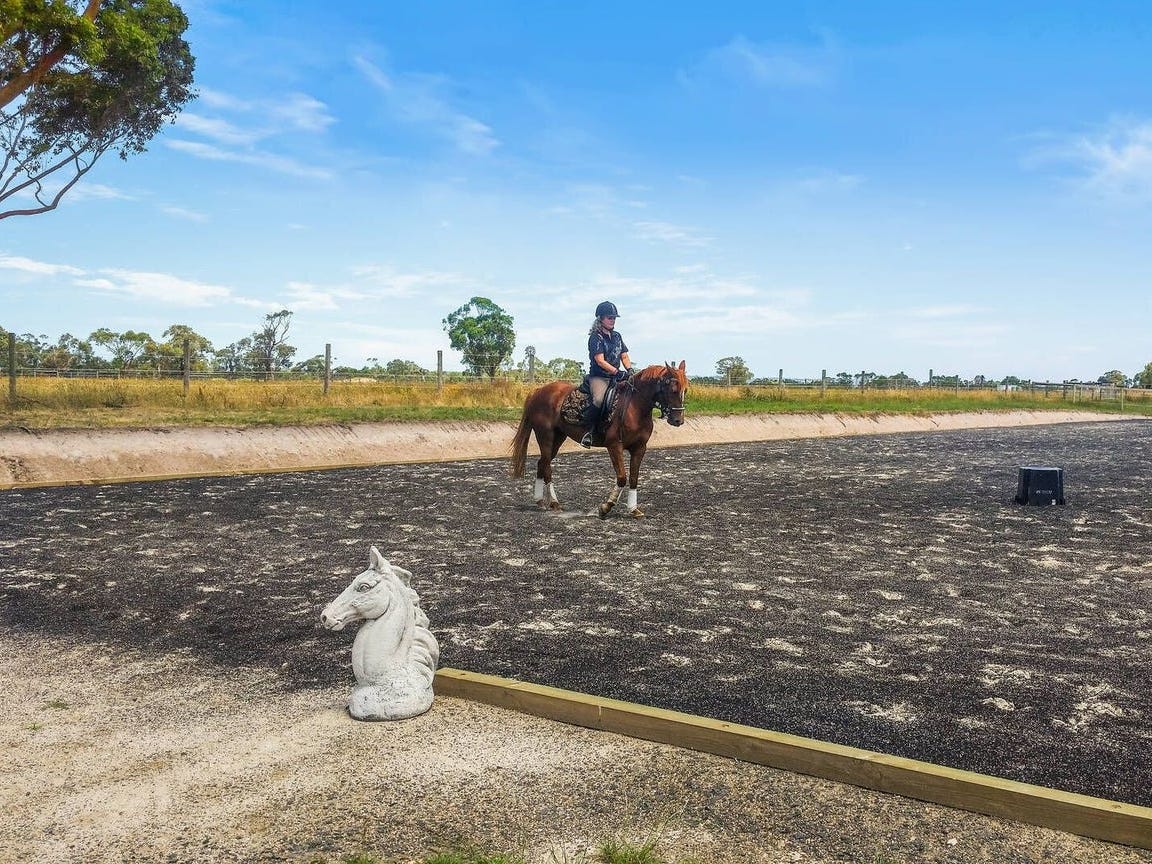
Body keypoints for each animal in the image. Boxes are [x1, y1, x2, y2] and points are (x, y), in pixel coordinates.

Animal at [510, 361, 688, 518]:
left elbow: (633, 478)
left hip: (558, 437)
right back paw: (554, 503)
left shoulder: (639, 448)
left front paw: (633, 509)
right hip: (545, 436)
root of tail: (539, 391)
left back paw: (540, 501)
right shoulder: (614, 446)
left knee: (542, 463)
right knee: (546, 467)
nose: (678, 420)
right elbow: (622, 478)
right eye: (672, 389)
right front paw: (605, 507)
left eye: (685, 390)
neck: (635, 407)